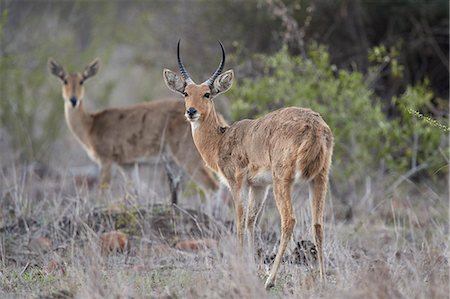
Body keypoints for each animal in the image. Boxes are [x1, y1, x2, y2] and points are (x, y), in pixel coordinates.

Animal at [48, 57, 218, 193]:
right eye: (64, 80)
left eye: (82, 81)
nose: (73, 100)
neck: (91, 124)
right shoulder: (128, 165)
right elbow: (136, 191)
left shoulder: (106, 161)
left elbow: (102, 192)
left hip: (188, 159)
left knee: (213, 187)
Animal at [163, 41, 332, 290]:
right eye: (186, 93)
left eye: (207, 94)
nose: (191, 111)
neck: (222, 139)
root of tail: (315, 126)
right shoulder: (259, 186)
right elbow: (252, 221)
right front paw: (252, 268)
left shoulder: (236, 183)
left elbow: (240, 222)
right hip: (319, 178)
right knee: (318, 224)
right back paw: (321, 279)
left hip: (284, 181)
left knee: (289, 220)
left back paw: (271, 281)